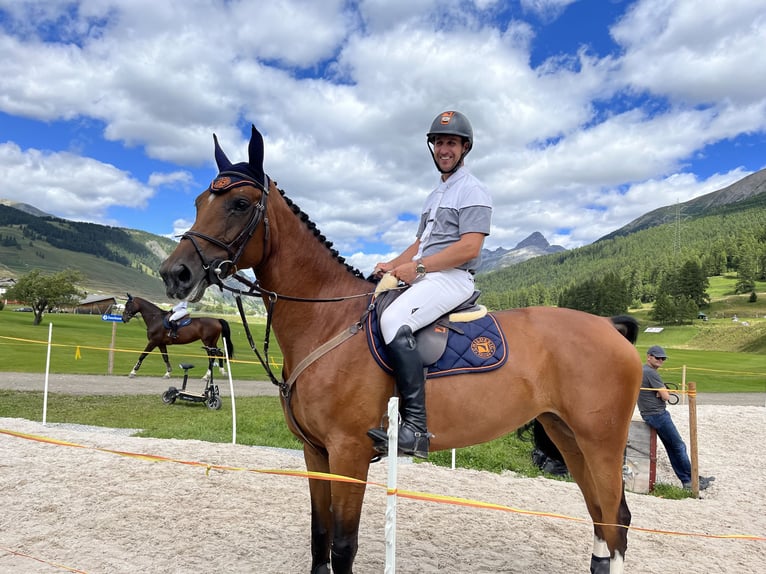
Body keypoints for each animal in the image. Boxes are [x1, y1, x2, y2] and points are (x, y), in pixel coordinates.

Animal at [159, 125, 643, 574]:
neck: (326, 319)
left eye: (239, 204)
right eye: (199, 201)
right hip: (567, 436)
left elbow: (342, 545)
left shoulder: (349, 452)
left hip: (600, 441)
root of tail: (609, 327)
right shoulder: (315, 452)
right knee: (599, 518)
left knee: (616, 517)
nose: (174, 274)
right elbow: (318, 536)